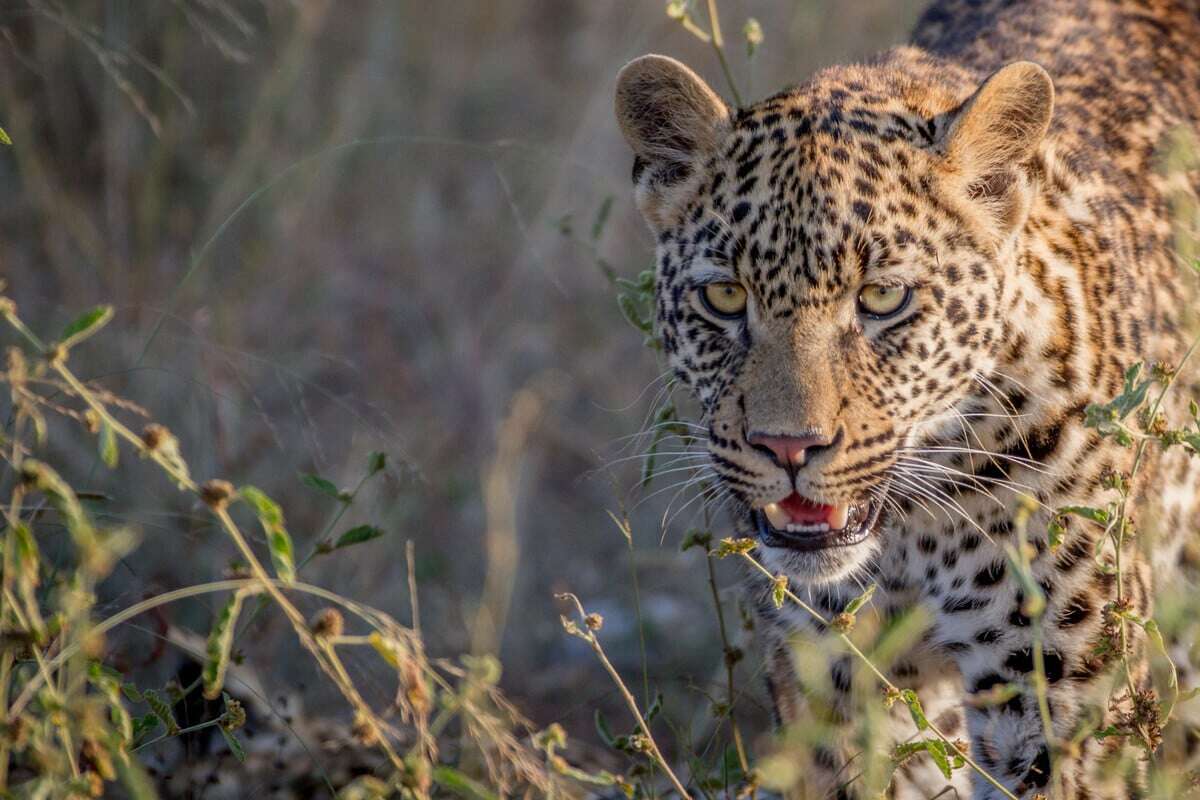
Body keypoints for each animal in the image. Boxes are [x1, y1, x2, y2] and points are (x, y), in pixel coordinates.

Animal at [614, 1, 1200, 800]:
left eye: (883, 298)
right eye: (726, 297)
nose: (788, 447)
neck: (912, 535)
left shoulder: (1058, 691)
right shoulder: (837, 687)